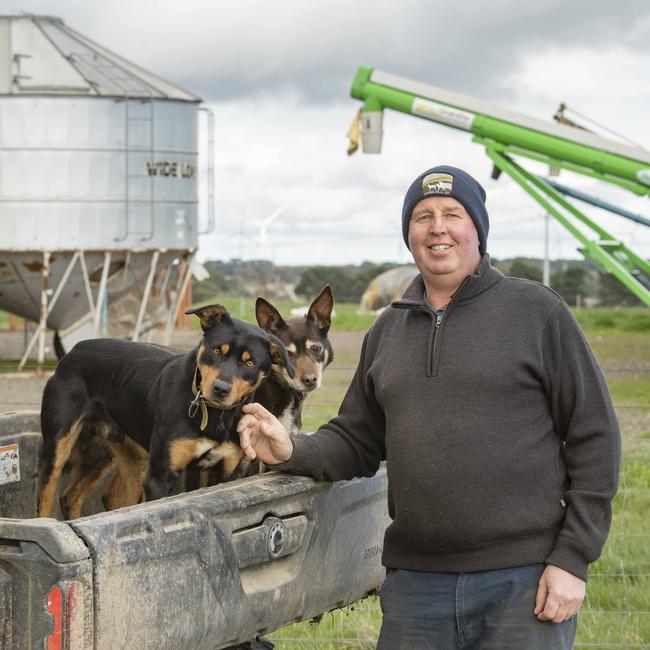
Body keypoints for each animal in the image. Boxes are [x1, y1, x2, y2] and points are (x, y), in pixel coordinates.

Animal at [39, 302, 292, 520]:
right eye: (217, 350)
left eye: (250, 363)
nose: (220, 389)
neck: (213, 415)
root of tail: (74, 351)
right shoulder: (160, 476)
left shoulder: (222, 472)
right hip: (58, 447)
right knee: (47, 498)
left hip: (115, 457)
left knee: (76, 497)